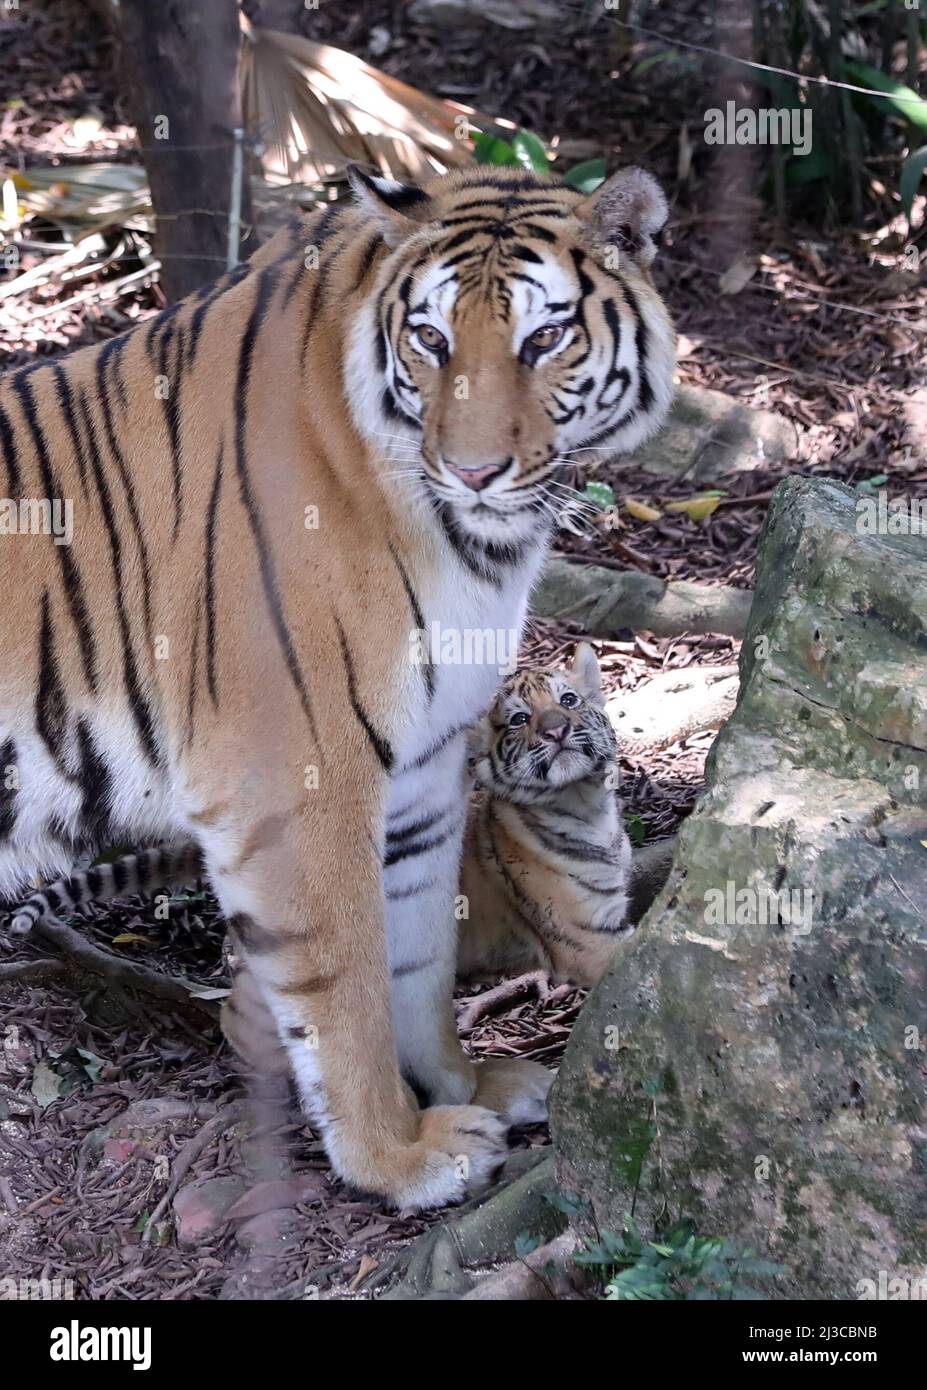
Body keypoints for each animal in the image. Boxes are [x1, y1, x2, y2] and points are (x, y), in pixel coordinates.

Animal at [0, 161, 675, 1209]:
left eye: (544, 338)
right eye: (431, 340)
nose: (472, 471)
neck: (472, 546)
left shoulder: (427, 769)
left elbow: (418, 957)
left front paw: (464, 1086)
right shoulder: (296, 776)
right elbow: (345, 984)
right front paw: (400, 1155)